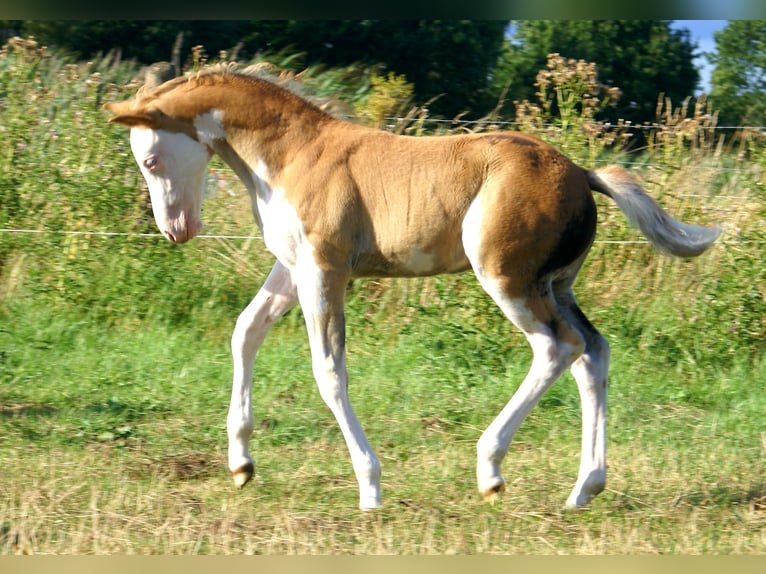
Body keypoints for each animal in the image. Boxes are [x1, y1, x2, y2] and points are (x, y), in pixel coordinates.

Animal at [105, 66, 720, 511]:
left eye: (150, 158)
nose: (175, 229)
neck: (292, 155)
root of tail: (580, 173)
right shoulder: (291, 267)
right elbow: (245, 331)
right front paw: (240, 463)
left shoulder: (324, 271)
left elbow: (328, 371)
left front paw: (370, 487)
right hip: (557, 284)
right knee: (593, 352)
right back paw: (583, 489)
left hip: (508, 279)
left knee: (556, 347)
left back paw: (490, 470)